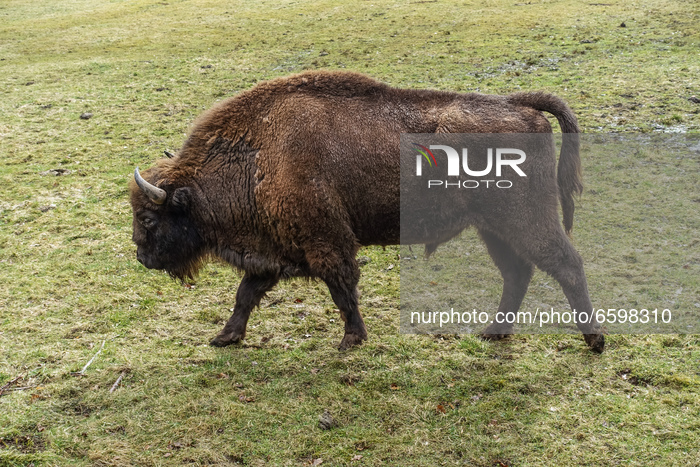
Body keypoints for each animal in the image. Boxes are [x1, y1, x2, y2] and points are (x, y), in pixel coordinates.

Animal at [129, 70, 604, 352]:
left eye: (149, 219)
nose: (142, 257)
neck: (259, 153)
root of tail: (519, 106)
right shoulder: (274, 253)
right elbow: (246, 294)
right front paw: (224, 337)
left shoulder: (326, 242)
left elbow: (342, 289)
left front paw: (351, 340)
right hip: (493, 228)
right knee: (518, 273)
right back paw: (493, 333)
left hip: (525, 220)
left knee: (565, 264)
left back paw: (595, 341)